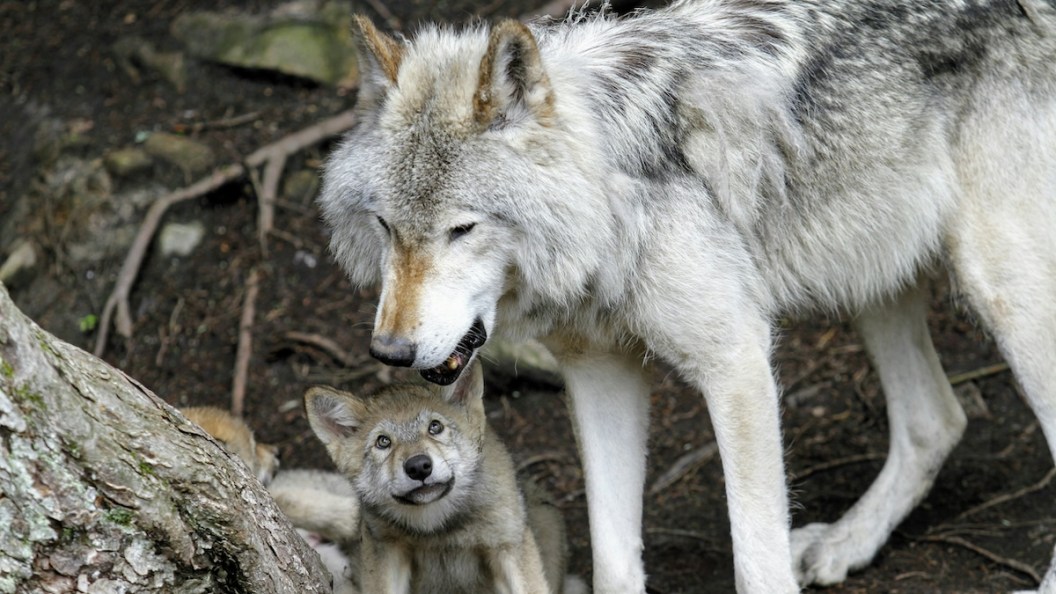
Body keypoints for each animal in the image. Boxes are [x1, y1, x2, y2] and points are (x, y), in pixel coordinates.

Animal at [304, 362, 583, 594]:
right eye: (383, 442)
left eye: (435, 427)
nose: (418, 467)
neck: (439, 528)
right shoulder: (386, 550)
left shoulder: (507, 547)